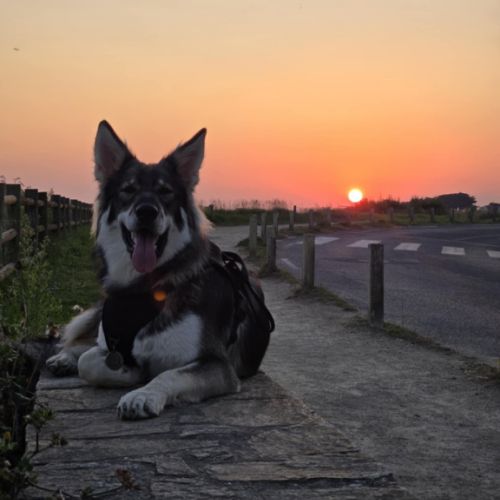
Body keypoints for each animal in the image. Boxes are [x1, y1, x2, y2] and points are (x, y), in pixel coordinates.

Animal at [46, 121, 273, 420]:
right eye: (128, 190)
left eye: (165, 192)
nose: (146, 212)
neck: (143, 289)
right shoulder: (109, 347)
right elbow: (88, 360)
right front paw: (132, 371)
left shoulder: (218, 365)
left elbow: (169, 374)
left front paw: (143, 392)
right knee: (83, 345)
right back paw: (63, 358)